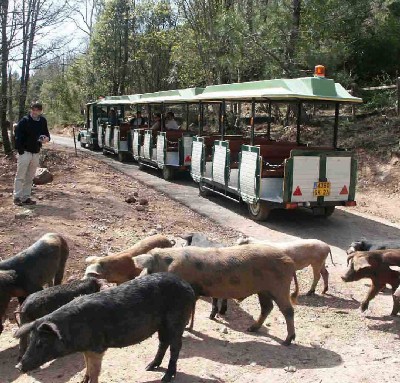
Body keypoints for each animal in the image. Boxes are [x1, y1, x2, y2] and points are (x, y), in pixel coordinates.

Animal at [14, 272, 196, 383]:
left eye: (41, 343)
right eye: (31, 340)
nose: (19, 366)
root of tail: (188, 286)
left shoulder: (97, 347)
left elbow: (95, 371)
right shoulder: (87, 348)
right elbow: (87, 366)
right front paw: (82, 381)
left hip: (177, 320)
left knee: (175, 346)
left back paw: (167, 377)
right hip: (162, 325)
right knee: (163, 343)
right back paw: (149, 367)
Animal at [134, 246, 300, 348]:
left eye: (148, 270)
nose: (136, 279)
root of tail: (290, 261)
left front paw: (186, 328)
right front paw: (189, 327)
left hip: (279, 287)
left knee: (288, 311)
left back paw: (287, 341)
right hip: (264, 290)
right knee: (267, 307)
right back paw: (251, 329)